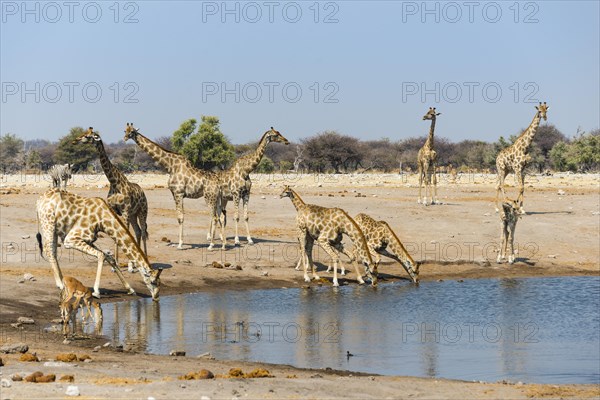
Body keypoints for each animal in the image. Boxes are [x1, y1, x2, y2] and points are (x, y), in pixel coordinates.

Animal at [73, 128, 149, 272]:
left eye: (88, 136)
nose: (75, 140)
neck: (114, 183)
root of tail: (143, 192)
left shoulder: (125, 211)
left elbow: (126, 234)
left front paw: (130, 266)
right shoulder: (114, 210)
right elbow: (116, 236)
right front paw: (117, 265)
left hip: (142, 211)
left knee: (142, 232)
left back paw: (145, 260)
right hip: (133, 214)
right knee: (137, 231)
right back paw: (138, 261)